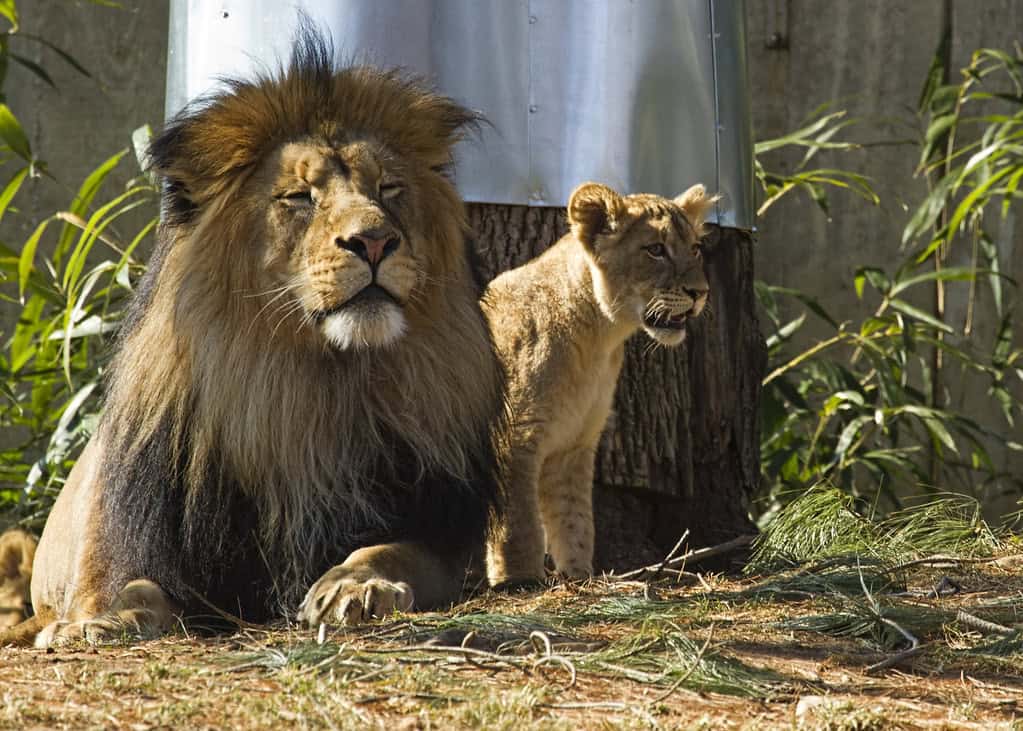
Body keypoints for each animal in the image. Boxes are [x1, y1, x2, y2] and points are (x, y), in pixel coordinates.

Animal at [0, 26, 504, 648]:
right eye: (298, 197)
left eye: (389, 188)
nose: (374, 241)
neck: (298, 387)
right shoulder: (138, 537)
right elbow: (123, 584)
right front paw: (99, 619)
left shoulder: (438, 530)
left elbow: (388, 551)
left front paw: (355, 586)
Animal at [483, 182, 717, 586]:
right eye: (656, 249)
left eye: (695, 249)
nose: (699, 292)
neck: (598, 338)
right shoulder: (513, 434)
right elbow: (517, 522)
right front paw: (518, 582)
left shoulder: (574, 444)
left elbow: (575, 520)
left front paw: (580, 576)